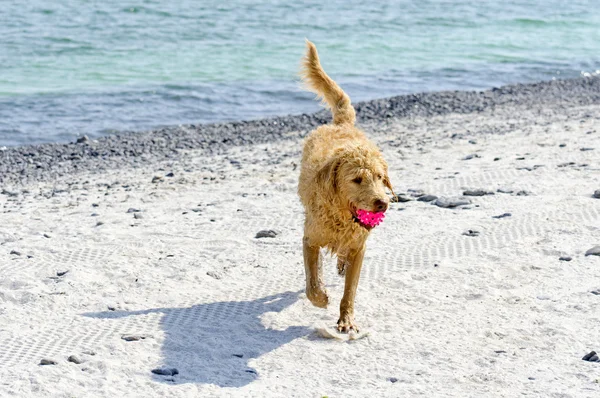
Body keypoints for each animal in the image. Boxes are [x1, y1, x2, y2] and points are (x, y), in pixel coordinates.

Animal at [298, 40, 394, 332]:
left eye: (380, 177)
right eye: (357, 179)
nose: (382, 203)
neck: (341, 217)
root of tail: (341, 125)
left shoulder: (359, 248)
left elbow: (350, 290)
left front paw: (347, 319)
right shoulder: (310, 239)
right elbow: (312, 281)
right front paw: (320, 298)